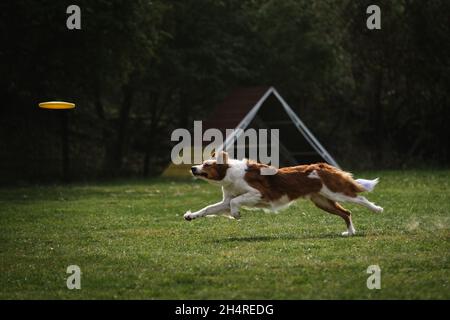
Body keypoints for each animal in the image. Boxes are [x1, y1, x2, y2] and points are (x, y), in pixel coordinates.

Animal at [184, 150, 384, 235]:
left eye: (206, 165)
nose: (193, 168)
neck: (229, 174)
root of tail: (323, 166)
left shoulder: (259, 193)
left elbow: (235, 202)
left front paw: (236, 214)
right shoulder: (226, 200)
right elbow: (208, 208)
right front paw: (191, 216)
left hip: (335, 192)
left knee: (359, 197)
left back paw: (377, 210)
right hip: (322, 201)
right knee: (346, 212)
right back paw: (350, 233)